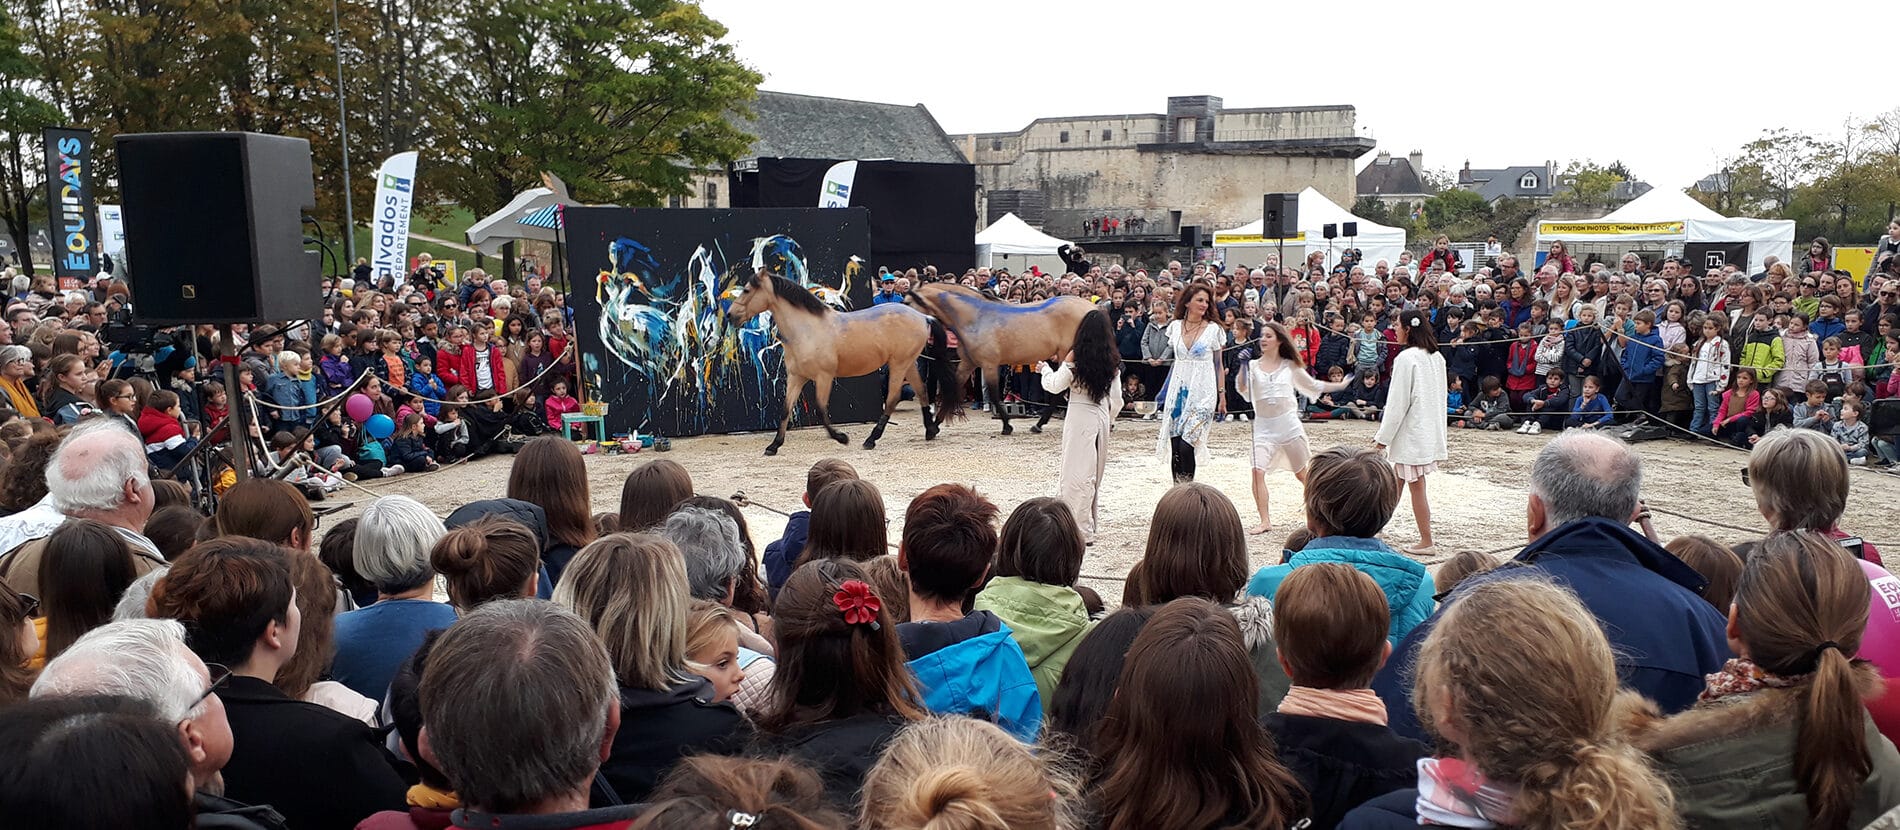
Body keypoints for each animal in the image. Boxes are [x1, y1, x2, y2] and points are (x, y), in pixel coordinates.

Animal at [722, 267, 957, 455]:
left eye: (747, 290)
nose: (730, 315)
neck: (807, 330)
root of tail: (923, 317)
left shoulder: (823, 377)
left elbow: (821, 409)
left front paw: (841, 438)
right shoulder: (796, 377)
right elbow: (785, 410)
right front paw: (773, 446)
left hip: (899, 364)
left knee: (892, 398)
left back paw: (871, 439)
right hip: (908, 363)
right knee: (921, 391)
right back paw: (930, 430)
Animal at [908, 281, 1102, 433]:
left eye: (908, 302)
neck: (976, 318)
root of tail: (1093, 309)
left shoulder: (989, 364)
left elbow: (994, 395)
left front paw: (1007, 426)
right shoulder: (968, 363)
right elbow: (952, 389)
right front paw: (934, 427)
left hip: (1066, 355)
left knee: (1060, 390)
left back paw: (1039, 424)